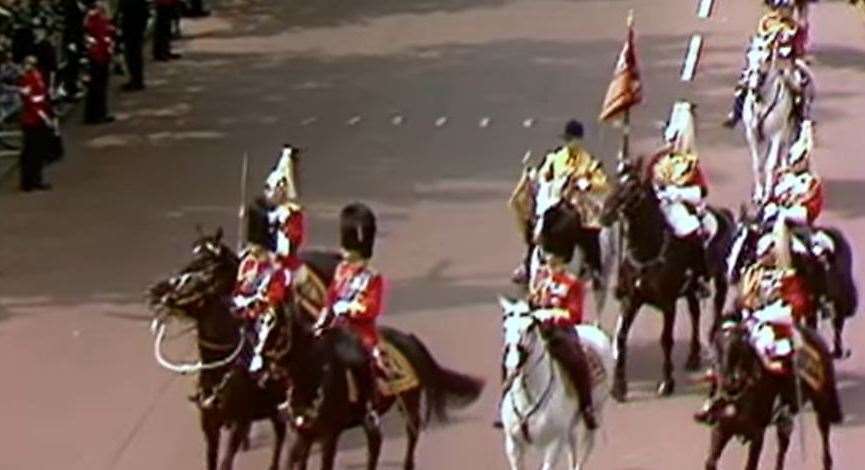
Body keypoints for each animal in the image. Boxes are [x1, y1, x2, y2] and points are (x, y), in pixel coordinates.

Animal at [147, 228, 286, 470]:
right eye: (193, 253)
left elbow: (226, 461)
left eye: (206, 263)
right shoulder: (210, 424)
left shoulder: (240, 421)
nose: (157, 290)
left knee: (282, 432)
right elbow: (212, 459)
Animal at [496, 298, 612, 470]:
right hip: (569, 428)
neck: (528, 396)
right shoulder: (513, 445)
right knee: (572, 449)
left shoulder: (554, 445)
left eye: (530, 327)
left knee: (584, 450)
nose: (512, 362)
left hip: (596, 411)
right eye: (505, 327)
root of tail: (594, 330)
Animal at [600, 160, 736, 402]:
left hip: (720, 281)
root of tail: (724, 213)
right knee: (695, 314)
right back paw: (693, 357)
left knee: (716, 311)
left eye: (633, 187)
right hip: (691, 289)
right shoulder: (631, 300)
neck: (647, 252)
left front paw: (666, 383)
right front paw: (619, 386)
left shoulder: (668, 304)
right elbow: (621, 337)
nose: (605, 213)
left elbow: (666, 339)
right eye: (616, 180)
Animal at [704, 318, 840, 468]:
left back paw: (827, 461)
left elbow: (750, 464)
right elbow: (710, 462)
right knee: (783, 441)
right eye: (716, 350)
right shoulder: (722, 429)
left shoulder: (757, 434)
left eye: (738, 346)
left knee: (823, 432)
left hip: (821, 403)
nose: (728, 382)